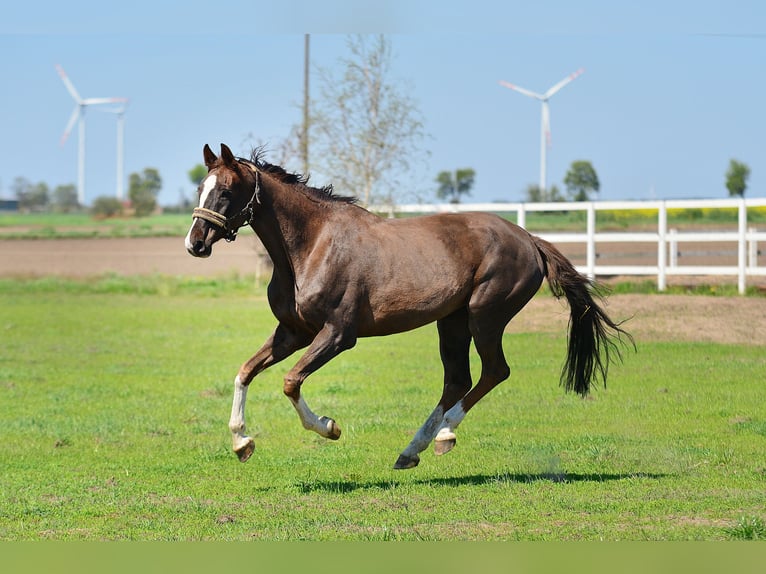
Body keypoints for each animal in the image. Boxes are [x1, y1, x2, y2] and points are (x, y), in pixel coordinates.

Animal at [184, 142, 632, 470]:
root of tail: (529, 239)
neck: (311, 247)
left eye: (226, 192)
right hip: (451, 322)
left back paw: (445, 435)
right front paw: (242, 442)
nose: (195, 244)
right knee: (458, 380)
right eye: (200, 189)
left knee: (493, 372)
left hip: (485, 316)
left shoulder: (338, 335)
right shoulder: (293, 331)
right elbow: (245, 372)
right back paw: (411, 450)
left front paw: (329, 427)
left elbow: (291, 381)